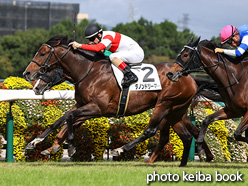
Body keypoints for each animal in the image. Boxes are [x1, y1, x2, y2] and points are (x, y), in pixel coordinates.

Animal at [23, 35, 213, 166]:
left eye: (42, 53)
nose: (27, 73)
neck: (88, 71)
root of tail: (189, 78)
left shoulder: (97, 108)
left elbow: (69, 118)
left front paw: (69, 147)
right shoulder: (83, 105)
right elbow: (62, 120)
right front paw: (40, 143)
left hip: (165, 104)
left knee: (151, 130)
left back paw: (120, 149)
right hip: (176, 110)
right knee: (188, 134)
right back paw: (190, 161)